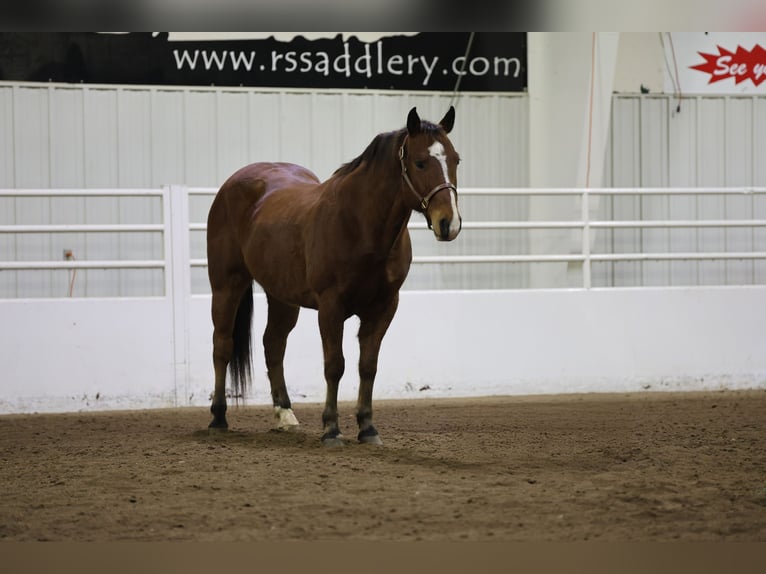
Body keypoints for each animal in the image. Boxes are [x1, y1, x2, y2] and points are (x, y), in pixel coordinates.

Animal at [204, 106, 464, 448]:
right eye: (420, 162)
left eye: (456, 159)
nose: (449, 223)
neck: (360, 224)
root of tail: (233, 184)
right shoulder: (330, 306)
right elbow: (334, 365)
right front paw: (331, 429)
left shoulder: (384, 307)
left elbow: (368, 366)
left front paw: (368, 428)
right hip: (226, 284)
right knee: (222, 345)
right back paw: (218, 417)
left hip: (282, 297)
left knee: (273, 344)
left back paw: (284, 415)